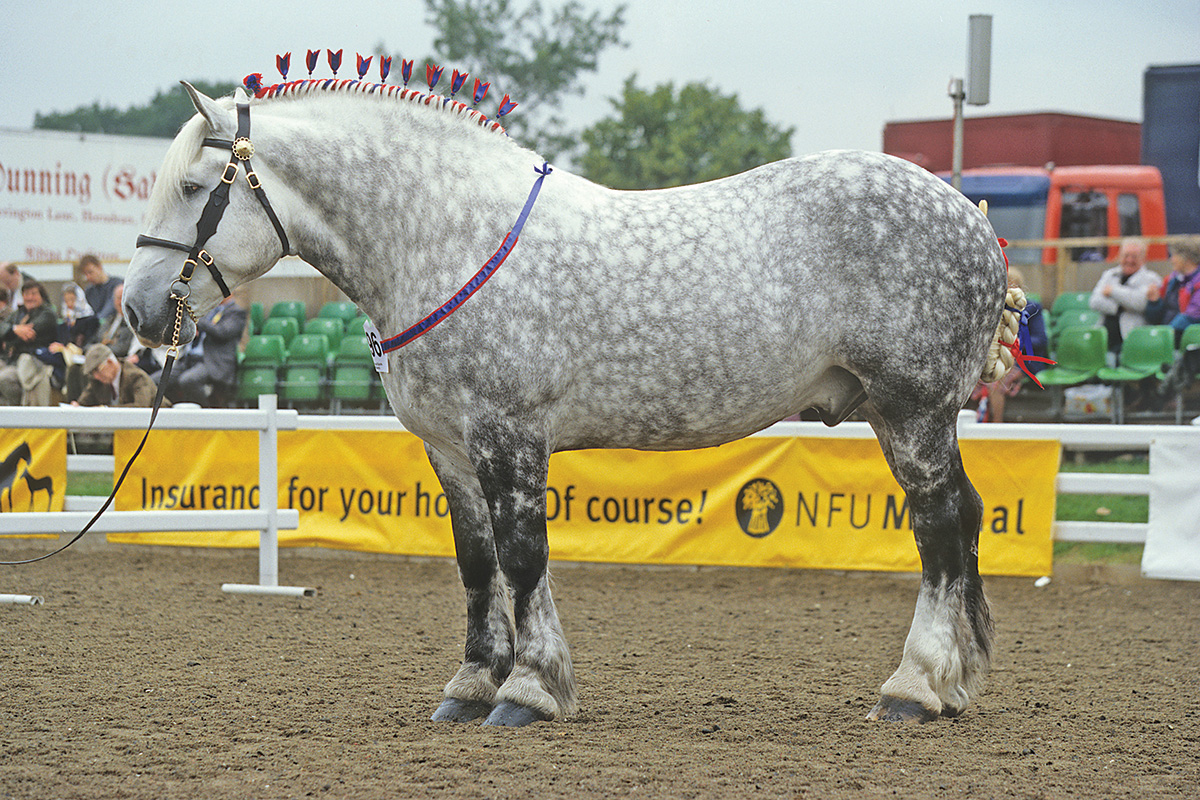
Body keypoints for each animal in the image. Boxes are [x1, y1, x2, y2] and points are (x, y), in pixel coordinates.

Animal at [122, 69, 1012, 727]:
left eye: (197, 185)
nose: (135, 311)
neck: (445, 238)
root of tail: (969, 214)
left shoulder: (509, 435)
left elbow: (524, 556)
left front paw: (529, 691)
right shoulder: (450, 449)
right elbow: (478, 563)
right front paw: (472, 685)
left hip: (912, 411)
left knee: (938, 530)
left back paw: (913, 688)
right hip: (909, 417)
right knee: (964, 519)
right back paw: (957, 682)